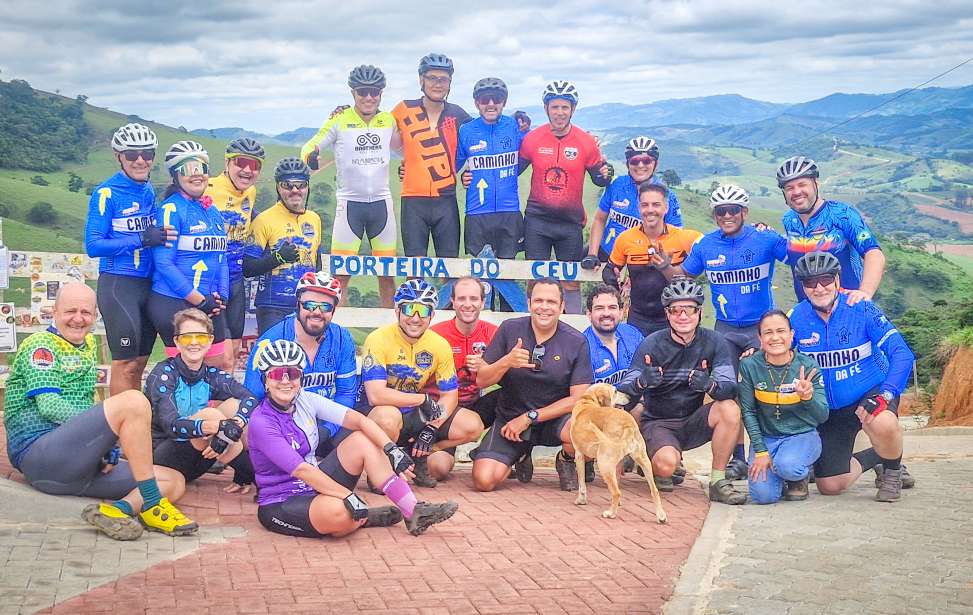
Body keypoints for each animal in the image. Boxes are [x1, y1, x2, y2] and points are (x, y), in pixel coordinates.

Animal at [568, 382, 668, 524]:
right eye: (615, 391)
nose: (629, 397)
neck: (588, 401)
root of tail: (628, 425)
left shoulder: (579, 455)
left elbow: (582, 484)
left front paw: (581, 500)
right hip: (644, 461)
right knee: (654, 490)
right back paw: (661, 516)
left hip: (604, 463)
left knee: (617, 492)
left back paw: (610, 513)